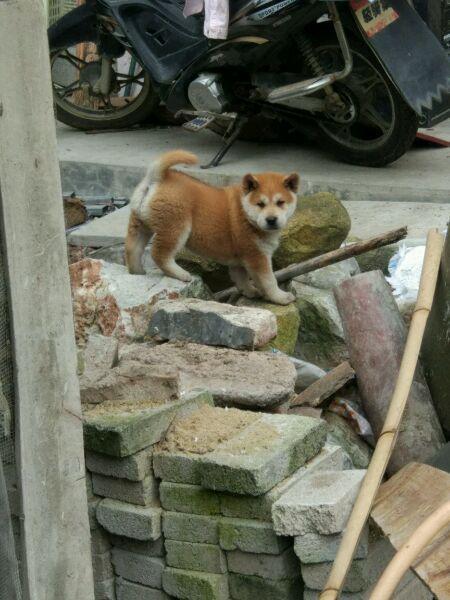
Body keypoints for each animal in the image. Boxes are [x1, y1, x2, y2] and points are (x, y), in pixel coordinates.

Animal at [125, 150, 298, 304]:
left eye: (280, 202)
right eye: (260, 204)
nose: (271, 219)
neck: (245, 212)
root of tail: (158, 177)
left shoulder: (239, 260)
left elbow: (241, 279)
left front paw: (250, 292)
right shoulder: (257, 256)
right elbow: (269, 280)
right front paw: (280, 297)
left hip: (140, 225)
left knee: (132, 249)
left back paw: (137, 272)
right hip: (175, 229)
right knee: (159, 254)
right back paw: (181, 273)